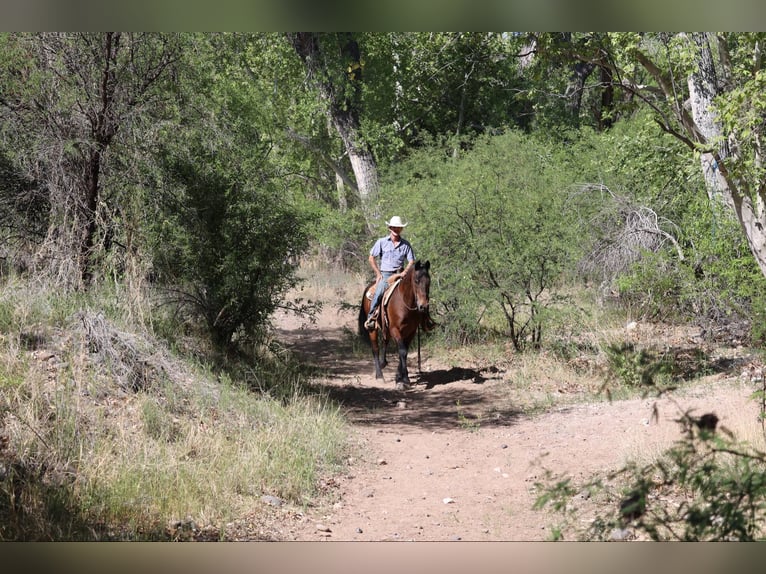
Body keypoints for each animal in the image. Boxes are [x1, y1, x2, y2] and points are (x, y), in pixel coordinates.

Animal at [358, 259, 431, 390]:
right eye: (416, 281)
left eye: (429, 282)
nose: (423, 306)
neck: (405, 303)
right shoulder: (395, 329)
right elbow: (402, 351)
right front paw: (405, 379)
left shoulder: (411, 331)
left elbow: (404, 351)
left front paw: (399, 377)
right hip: (373, 329)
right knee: (375, 348)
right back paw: (379, 376)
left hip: (386, 329)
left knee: (385, 342)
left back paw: (384, 363)